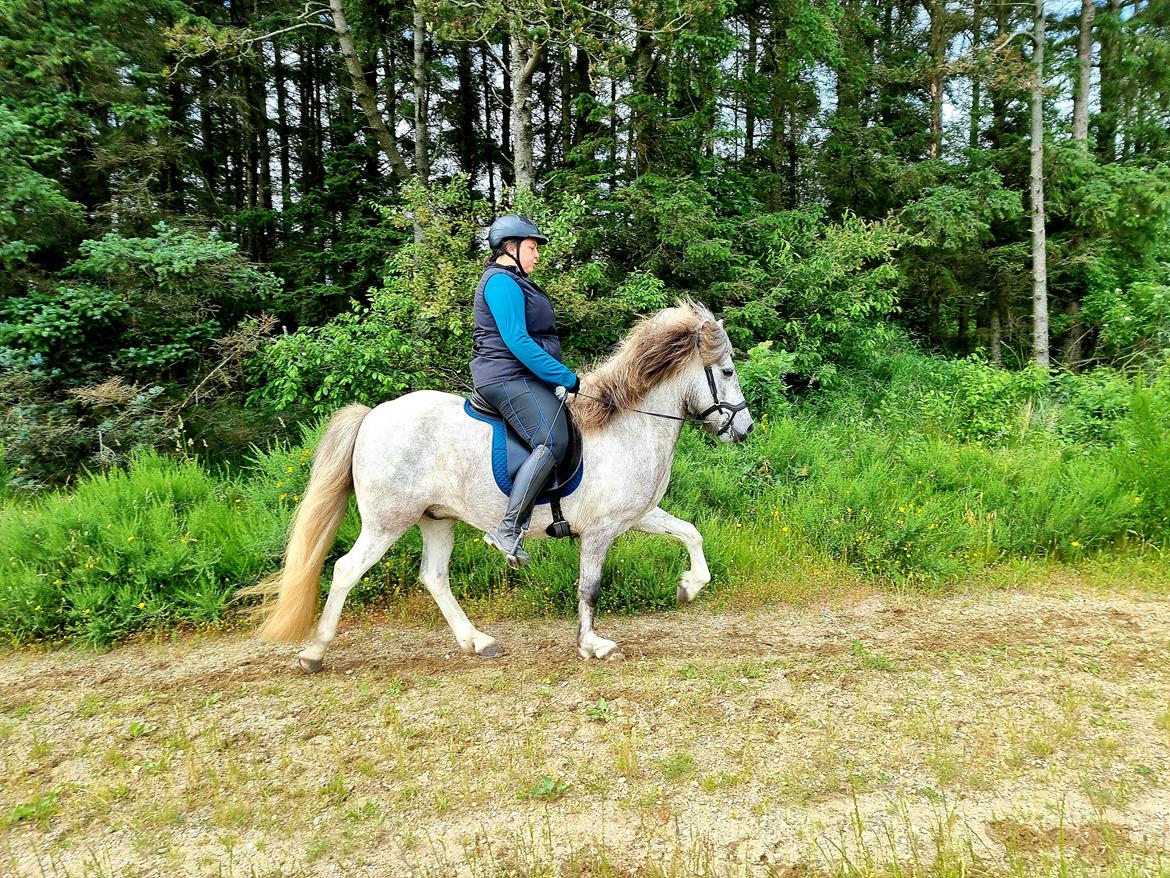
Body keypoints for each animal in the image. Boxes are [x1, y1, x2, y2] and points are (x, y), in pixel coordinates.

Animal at [250, 302, 753, 674]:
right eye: (727, 371)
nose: (745, 429)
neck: (626, 425)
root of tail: (372, 415)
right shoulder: (600, 531)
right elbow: (590, 587)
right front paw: (593, 644)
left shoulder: (636, 516)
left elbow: (690, 533)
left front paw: (688, 587)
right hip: (386, 522)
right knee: (345, 570)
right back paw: (314, 653)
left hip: (437, 519)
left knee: (434, 577)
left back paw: (477, 641)